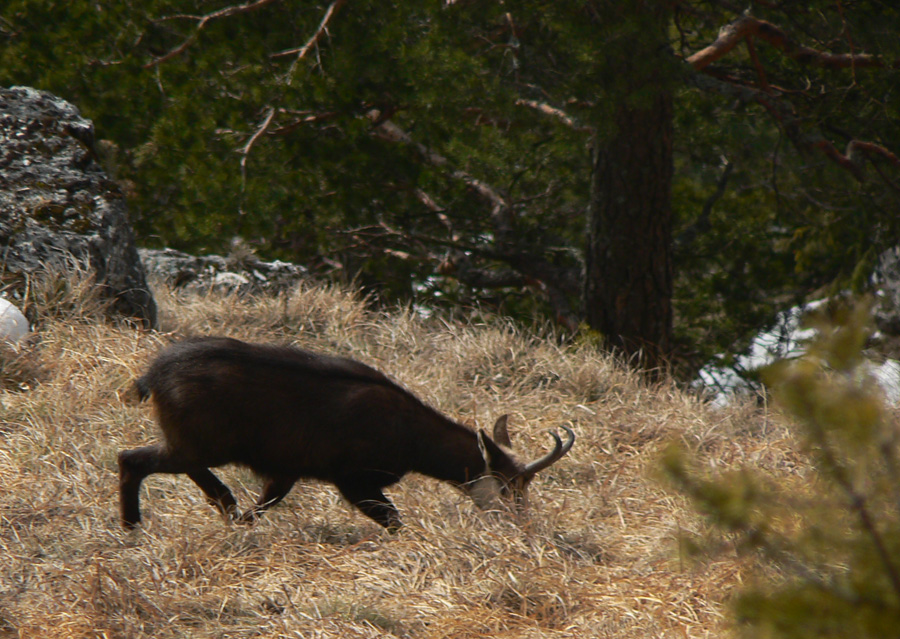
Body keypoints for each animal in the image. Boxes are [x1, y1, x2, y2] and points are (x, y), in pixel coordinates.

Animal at [118, 336, 575, 532]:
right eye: (511, 487)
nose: (523, 524)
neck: (411, 436)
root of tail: (153, 375)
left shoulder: (287, 468)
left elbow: (265, 504)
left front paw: (240, 524)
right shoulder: (354, 479)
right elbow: (394, 521)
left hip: (196, 443)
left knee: (177, 468)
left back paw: (222, 504)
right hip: (200, 443)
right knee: (131, 459)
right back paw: (132, 526)